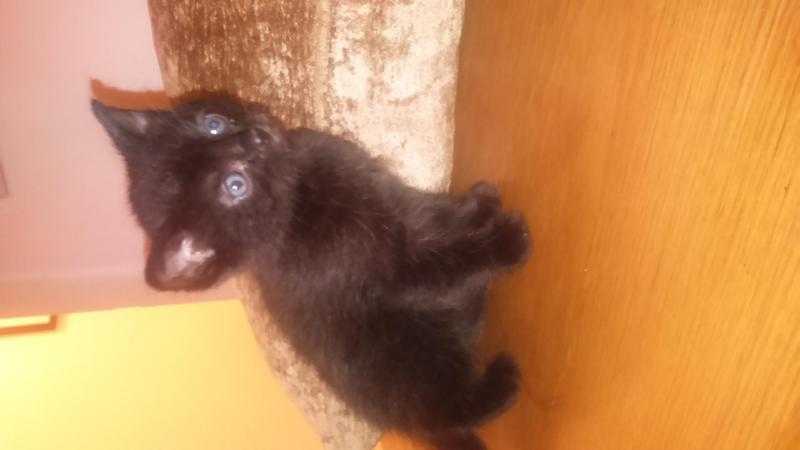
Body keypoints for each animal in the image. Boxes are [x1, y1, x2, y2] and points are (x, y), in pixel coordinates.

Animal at [92, 96, 532, 450]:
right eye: (235, 185)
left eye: (212, 123)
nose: (255, 137)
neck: (297, 199)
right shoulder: (382, 268)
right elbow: (439, 264)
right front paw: (506, 243)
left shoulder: (387, 195)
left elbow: (434, 212)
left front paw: (479, 204)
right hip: (408, 362)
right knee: (442, 407)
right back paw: (501, 382)